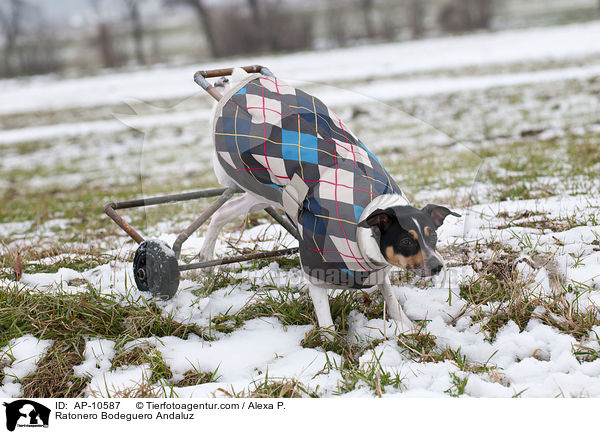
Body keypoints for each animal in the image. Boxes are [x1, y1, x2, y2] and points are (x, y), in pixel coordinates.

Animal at [198, 68, 460, 336]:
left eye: (433, 235)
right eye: (406, 241)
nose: (437, 266)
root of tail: (240, 80)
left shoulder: (377, 270)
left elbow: (391, 298)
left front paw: (406, 326)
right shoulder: (315, 270)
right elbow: (326, 322)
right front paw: (327, 342)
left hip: (262, 194)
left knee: (222, 213)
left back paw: (206, 258)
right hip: (248, 179)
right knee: (222, 210)